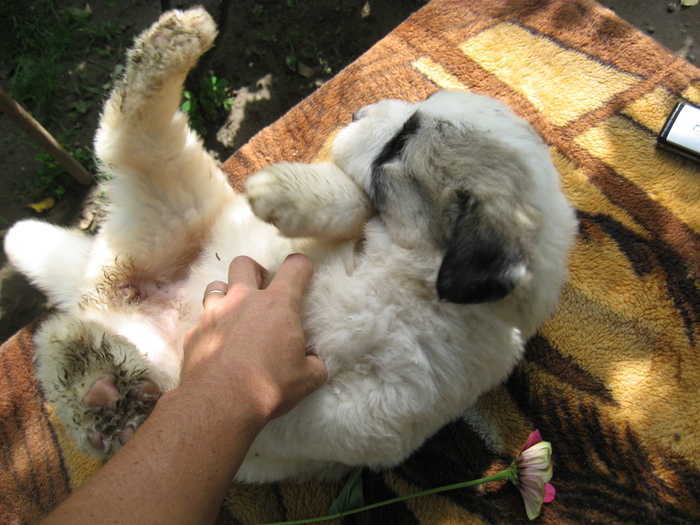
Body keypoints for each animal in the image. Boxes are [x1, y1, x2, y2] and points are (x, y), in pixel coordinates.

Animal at [2, 8, 576, 484]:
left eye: (400, 143)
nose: (356, 112)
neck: (407, 275)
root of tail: (96, 285)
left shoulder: (384, 407)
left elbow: (297, 414)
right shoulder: (338, 235)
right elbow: (349, 203)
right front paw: (283, 191)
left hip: (156, 255)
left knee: (69, 342)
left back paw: (104, 390)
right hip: (172, 210)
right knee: (132, 136)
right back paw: (176, 42)